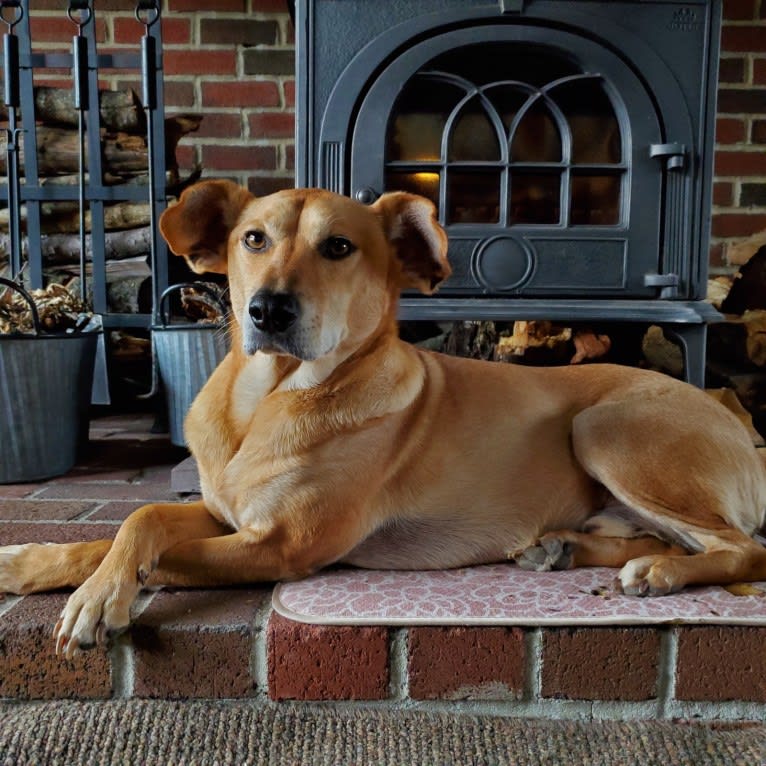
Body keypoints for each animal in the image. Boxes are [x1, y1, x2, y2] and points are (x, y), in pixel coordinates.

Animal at [1, 182, 766, 660]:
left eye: (339, 247)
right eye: (253, 239)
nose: (268, 309)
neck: (269, 400)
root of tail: (732, 416)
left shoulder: (281, 547)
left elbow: (154, 545)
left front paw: (99, 600)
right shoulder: (226, 514)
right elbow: (131, 522)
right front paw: (33, 562)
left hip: (606, 428)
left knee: (741, 548)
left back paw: (658, 574)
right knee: (670, 536)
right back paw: (570, 550)